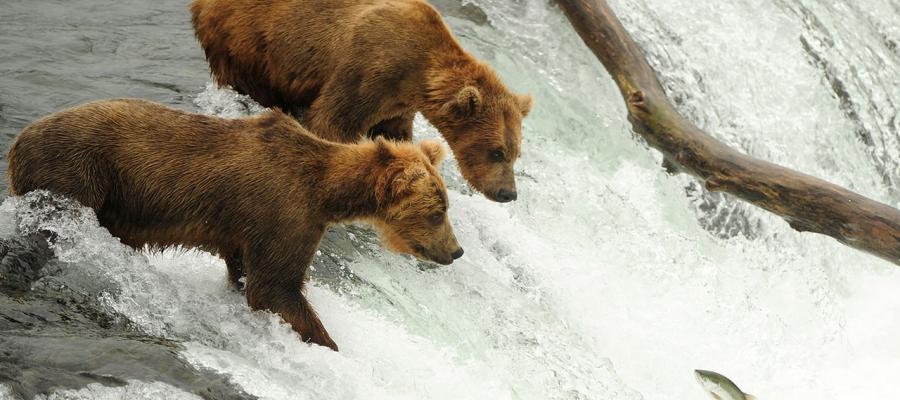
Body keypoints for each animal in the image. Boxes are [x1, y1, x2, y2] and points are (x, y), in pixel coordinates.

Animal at [3, 99, 460, 350]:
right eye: (437, 211)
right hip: (75, 173)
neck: (326, 191)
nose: (456, 251)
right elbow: (275, 288)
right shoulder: (283, 212)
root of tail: (17, 142)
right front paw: (328, 342)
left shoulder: (247, 233)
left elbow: (247, 277)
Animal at [188, 0, 528, 203]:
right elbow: (332, 120)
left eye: (516, 153)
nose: (508, 193)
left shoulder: (398, 104)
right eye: (497, 151)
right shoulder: (369, 70)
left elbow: (393, 132)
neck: (417, 73)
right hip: (247, 44)